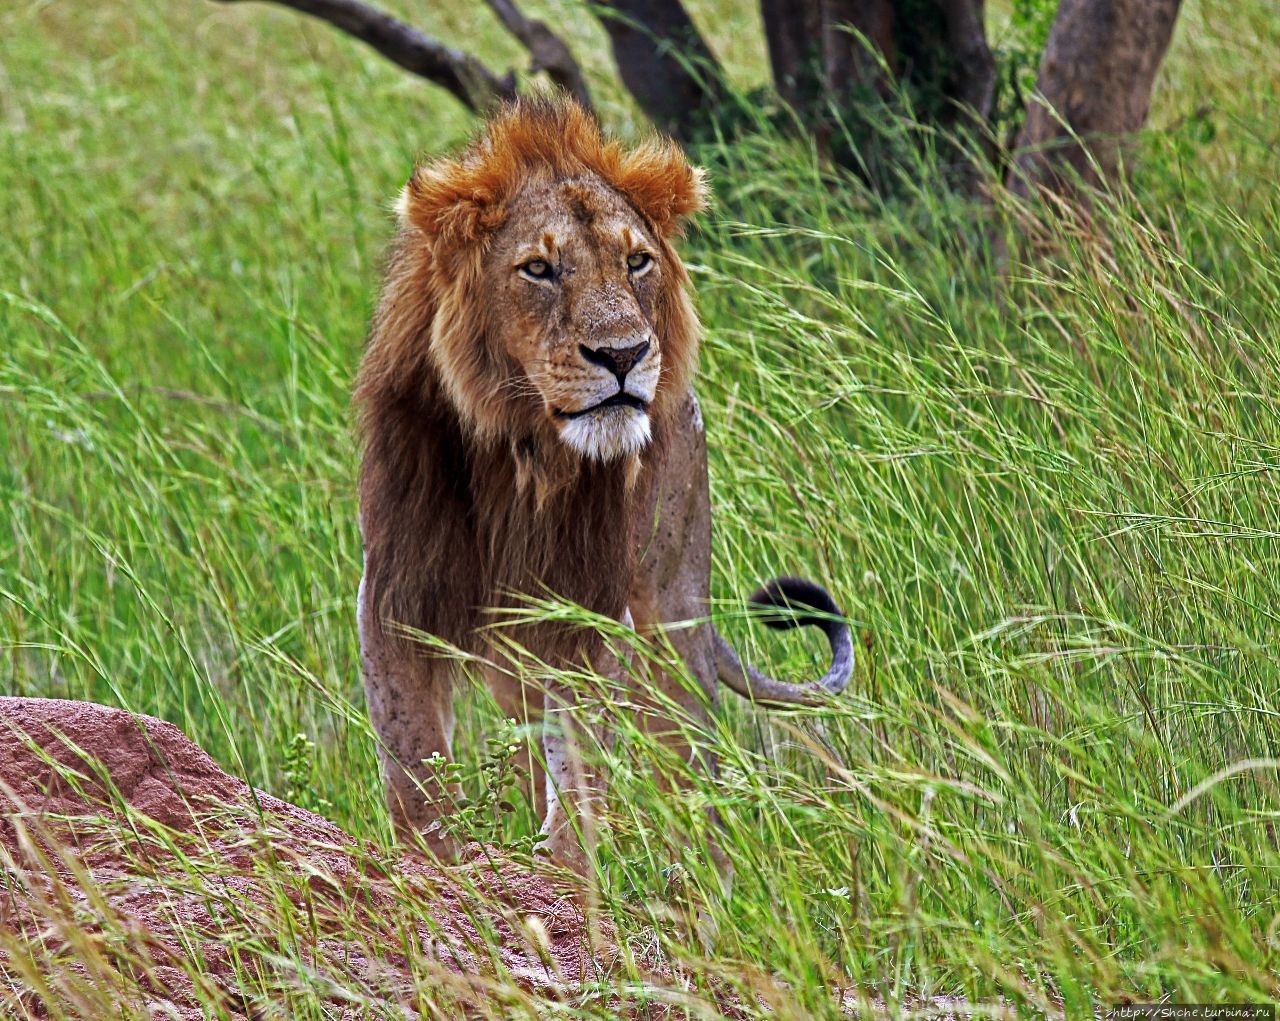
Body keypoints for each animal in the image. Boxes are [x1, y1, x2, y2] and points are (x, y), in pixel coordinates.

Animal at [355, 97, 849, 870]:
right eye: (538, 269)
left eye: (636, 260)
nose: (624, 353)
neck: (522, 452)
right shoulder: (393, 590)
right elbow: (413, 764)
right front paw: (434, 867)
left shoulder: (588, 609)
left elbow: (581, 771)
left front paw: (566, 874)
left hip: (673, 610)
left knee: (691, 770)